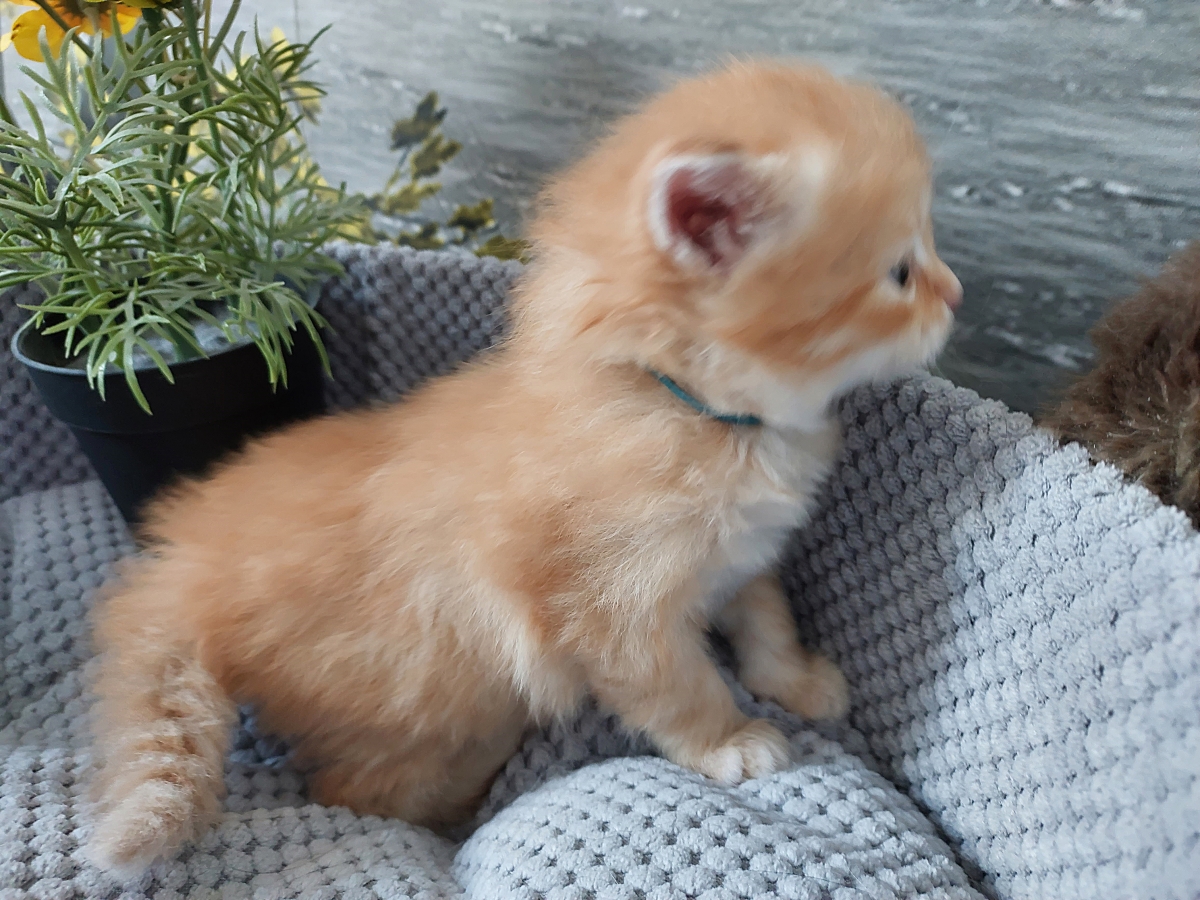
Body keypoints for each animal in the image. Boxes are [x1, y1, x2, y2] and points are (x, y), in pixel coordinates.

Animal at [86, 60, 963, 877]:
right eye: (899, 273)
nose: (955, 293)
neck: (683, 406)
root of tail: (190, 564)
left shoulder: (745, 555)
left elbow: (768, 620)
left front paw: (798, 683)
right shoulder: (613, 608)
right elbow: (681, 686)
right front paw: (731, 740)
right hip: (436, 694)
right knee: (352, 790)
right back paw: (455, 806)